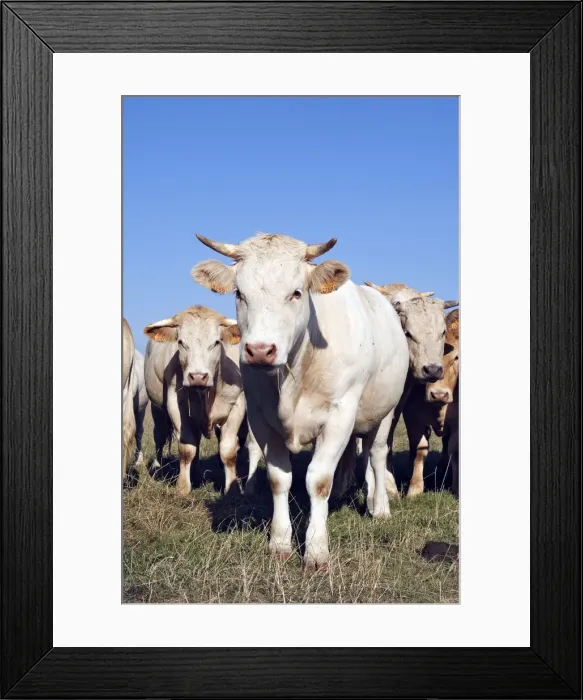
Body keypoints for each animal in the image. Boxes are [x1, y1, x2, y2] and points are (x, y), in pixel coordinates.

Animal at [143, 306, 249, 496]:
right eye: (181, 342)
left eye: (216, 342)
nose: (198, 376)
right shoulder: (176, 407)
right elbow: (186, 449)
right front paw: (183, 488)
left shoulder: (237, 406)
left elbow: (228, 452)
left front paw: (232, 489)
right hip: (157, 408)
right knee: (159, 437)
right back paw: (157, 466)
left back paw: (198, 474)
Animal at [192, 233, 409, 571]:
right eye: (240, 293)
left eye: (296, 293)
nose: (260, 350)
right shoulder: (260, 418)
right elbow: (279, 479)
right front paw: (280, 543)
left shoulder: (339, 413)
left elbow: (318, 480)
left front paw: (317, 551)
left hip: (385, 411)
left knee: (376, 454)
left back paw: (379, 507)